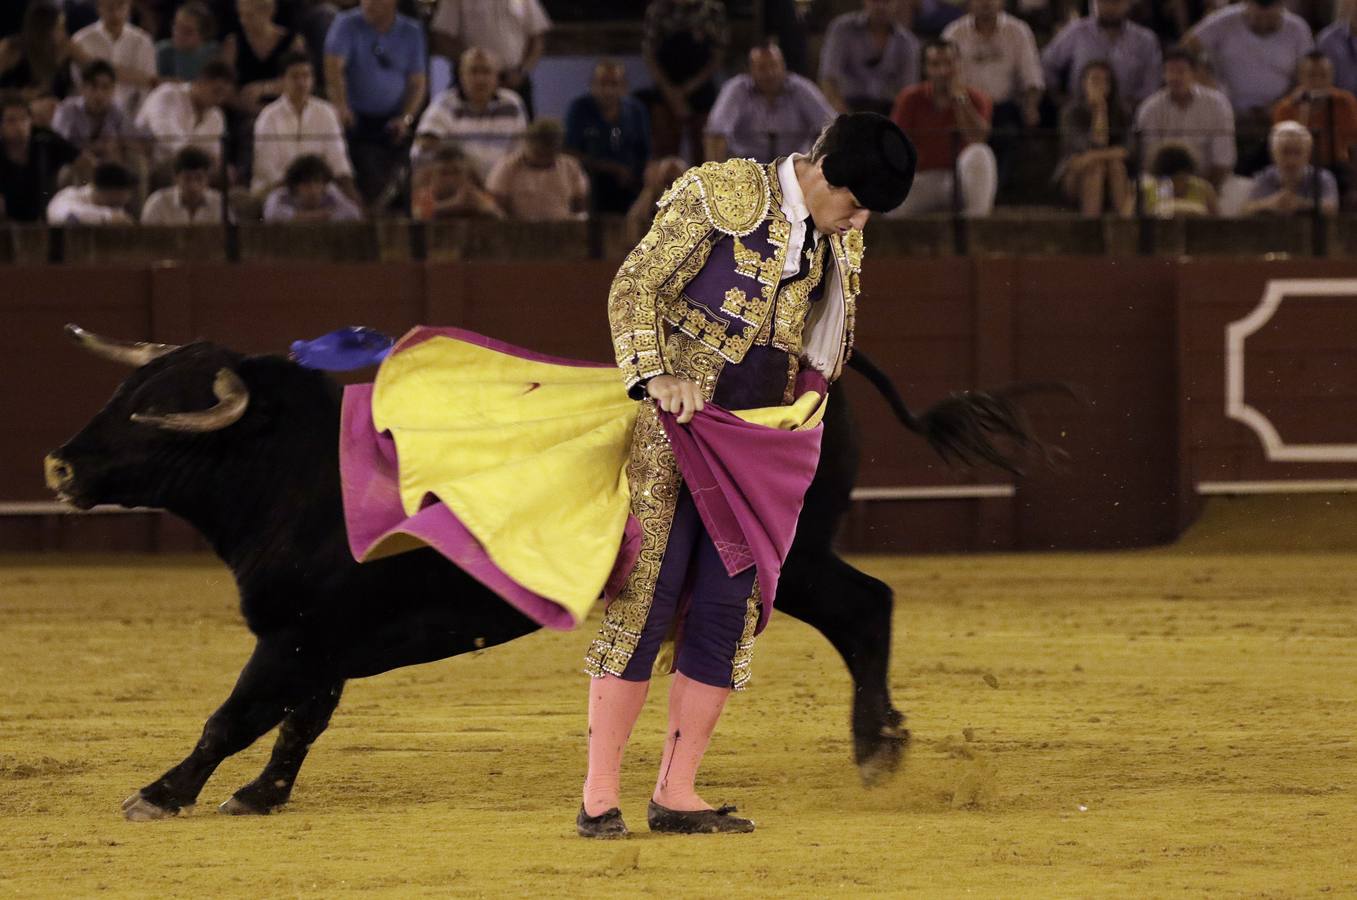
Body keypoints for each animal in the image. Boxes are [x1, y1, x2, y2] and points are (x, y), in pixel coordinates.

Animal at [42, 327, 1036, 819]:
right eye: (123, 394)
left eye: (157, 416)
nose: (57, 465)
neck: (292, 465)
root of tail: (811, 367)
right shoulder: (321, 640)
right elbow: (296, 725)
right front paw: (258, 797)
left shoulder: (294, 636)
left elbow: (233, 716)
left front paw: (160, 794)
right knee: (867, 607)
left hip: (784, 562)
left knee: (867, 606)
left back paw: (876, 746)